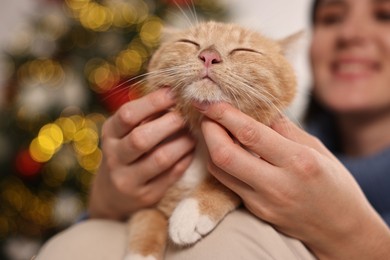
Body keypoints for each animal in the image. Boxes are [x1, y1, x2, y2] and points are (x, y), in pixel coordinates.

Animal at [125, 21, 298, 260]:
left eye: (243, 50)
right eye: (189, 42)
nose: (209, 56)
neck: (203, 140)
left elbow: (225, 182)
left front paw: (192, 211)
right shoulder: (149, 199)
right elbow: (146, 223)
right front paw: (141, 253)